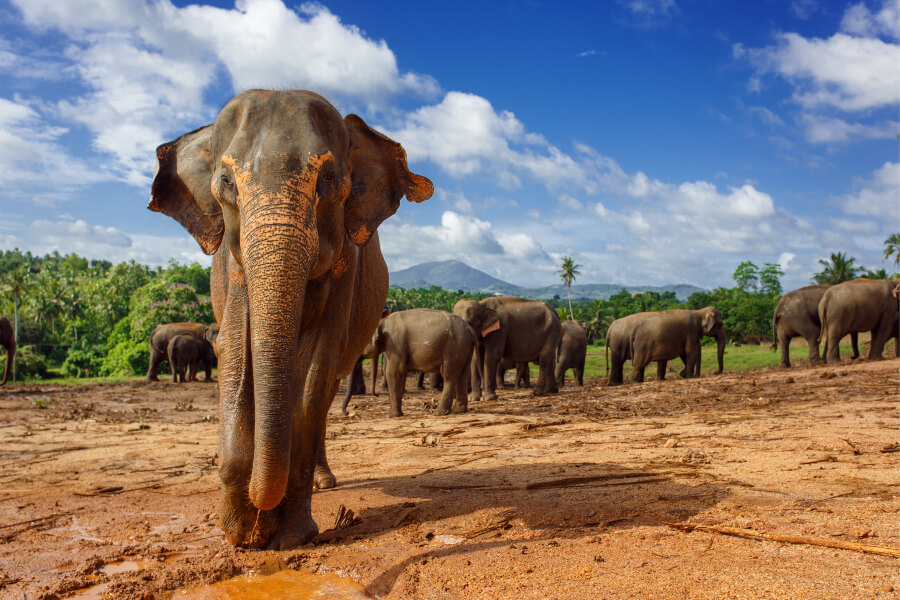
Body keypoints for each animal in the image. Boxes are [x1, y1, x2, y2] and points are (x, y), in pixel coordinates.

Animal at [149, 89, 432, 549]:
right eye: (226, 183)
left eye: (329, 179)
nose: (259, 522)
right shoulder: (232, 264)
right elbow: (235, 349)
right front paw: (242, 533)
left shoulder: (346, 266)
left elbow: (314, 370)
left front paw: (290, 536)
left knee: (325, 390)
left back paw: (323, 482)